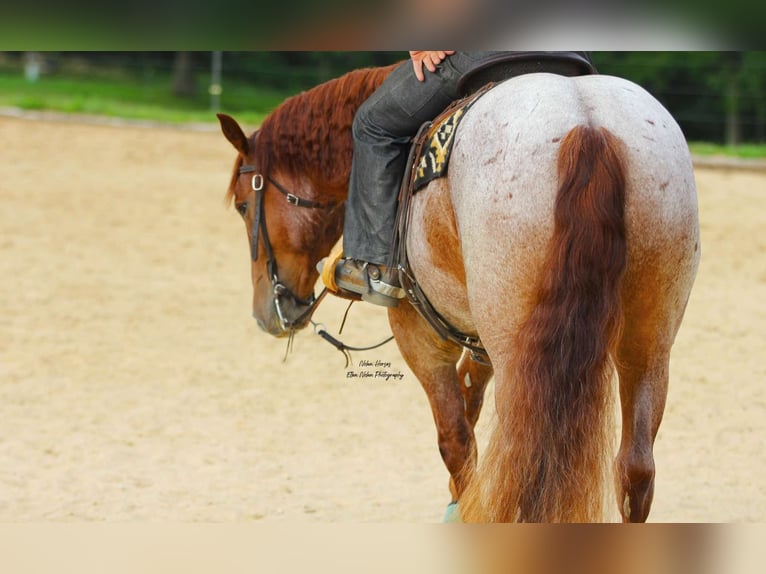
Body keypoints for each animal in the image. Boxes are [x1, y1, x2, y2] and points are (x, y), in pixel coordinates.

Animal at [216, 65, 704, 524]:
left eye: (243, 205)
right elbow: (470, 406)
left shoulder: (420, 336)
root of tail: (588, 126)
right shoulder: (478, 339)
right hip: (648, 347)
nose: (268, 313)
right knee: (635, 471)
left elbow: (455, 440)